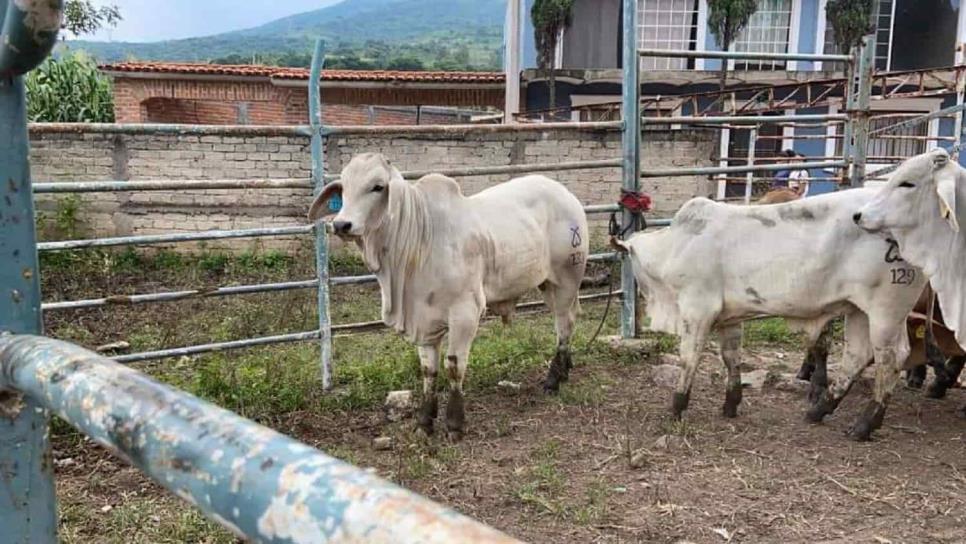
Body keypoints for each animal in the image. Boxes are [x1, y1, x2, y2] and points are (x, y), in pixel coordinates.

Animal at [310, 151, 588, 440]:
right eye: (344, 188)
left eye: (377, 187)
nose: (341, 224)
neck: (419, 240)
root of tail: (565, 193)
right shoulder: (422, 319)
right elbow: (428, 370)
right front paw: (424, 421)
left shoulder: (466, 313)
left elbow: (454, 365)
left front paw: (455, 423)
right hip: (547, 284)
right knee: (568, 320)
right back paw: (565, 369)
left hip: (567, 278)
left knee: (564, 324)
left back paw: (553, 379)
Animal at [616, 188, 928, 442]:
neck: (676, 245)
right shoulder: (730, 318)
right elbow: (731, 357)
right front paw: (731, 403)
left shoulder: (697, 309)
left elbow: (688, 359)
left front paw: (677, 406)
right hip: (860, 310)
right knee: (857, 356)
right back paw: (820, 409)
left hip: (886, 310)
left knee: (891, 358)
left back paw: (865, 423)